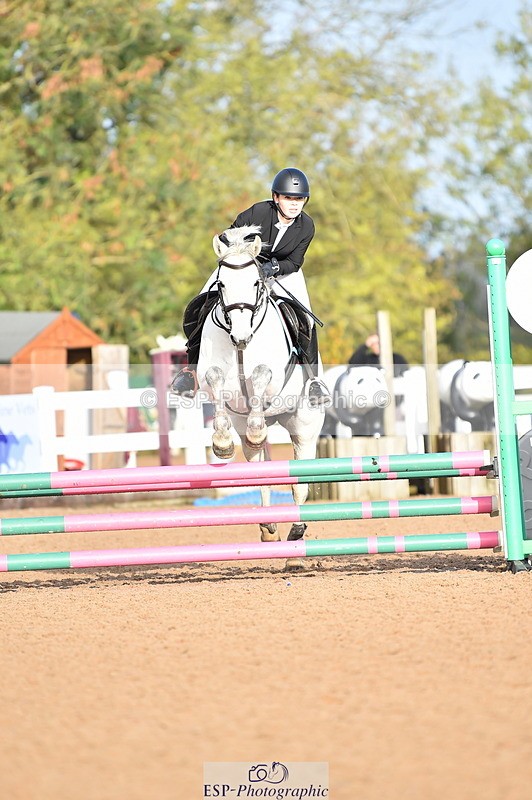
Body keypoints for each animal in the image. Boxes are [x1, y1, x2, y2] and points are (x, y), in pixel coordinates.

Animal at [194, 224, 325, 548]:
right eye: (221, 284)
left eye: (255, 281)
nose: (241, 337)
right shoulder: (210, 375)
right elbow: (216, 381)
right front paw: (222, 443)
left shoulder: (271, 375)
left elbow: (262, 375)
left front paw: (254, 430)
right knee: (261, 471)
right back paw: (268, 526)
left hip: (304, 428)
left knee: (299, 481)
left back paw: (297, 529)